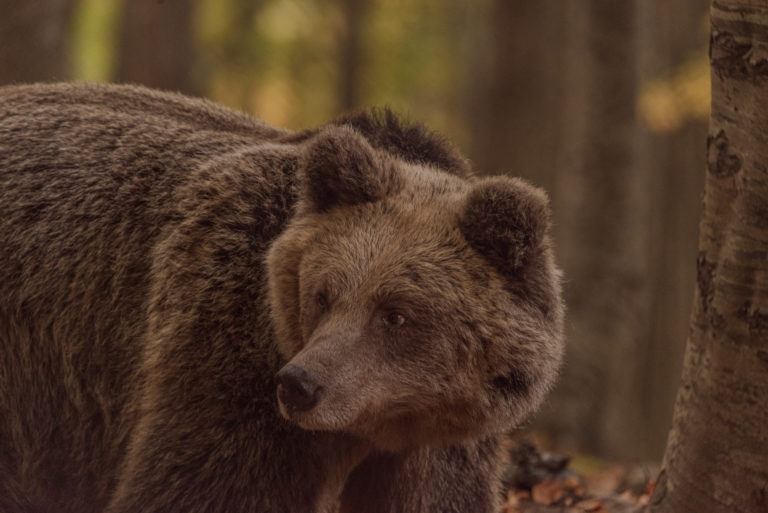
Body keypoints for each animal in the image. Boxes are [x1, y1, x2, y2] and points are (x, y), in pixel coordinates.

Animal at [0, 82, 564, 510]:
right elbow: (208, 483)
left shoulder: (440, 441)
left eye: (396, 314)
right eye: (323, 295)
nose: (300, 384)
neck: (385, 425)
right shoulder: (227, 347)